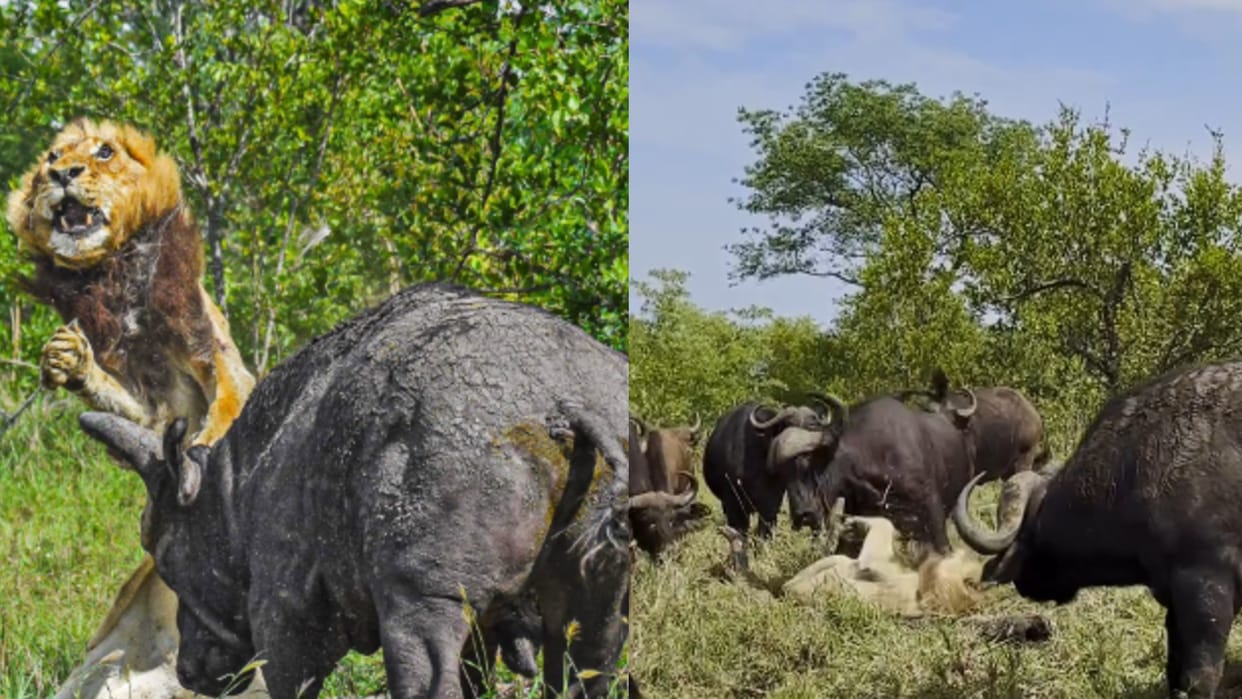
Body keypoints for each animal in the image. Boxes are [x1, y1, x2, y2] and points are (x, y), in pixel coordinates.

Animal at [6, 119, 261, 698]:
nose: (63, 173)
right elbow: (139, 422)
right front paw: (70, 361)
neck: (117, 278)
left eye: (104, 152)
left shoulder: (216, 355)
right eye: (51, 157)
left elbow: (225, 408)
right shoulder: (154, 405)